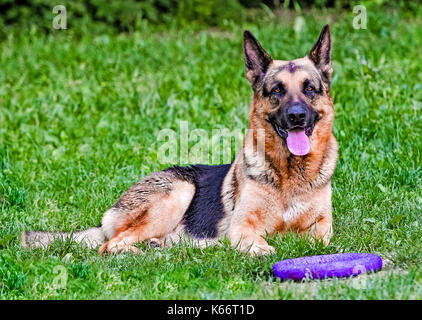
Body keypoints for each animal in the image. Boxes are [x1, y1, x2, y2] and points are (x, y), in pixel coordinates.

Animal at [23, 25, 340, 255]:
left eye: (309, 89)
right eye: (276, 91)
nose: (297, 116)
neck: (290, 175)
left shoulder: (322, 230)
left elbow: (316, 241)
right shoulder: (242, 227)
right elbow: (257, 242)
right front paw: (263, 249)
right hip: (179, 191)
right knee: (110, 244)